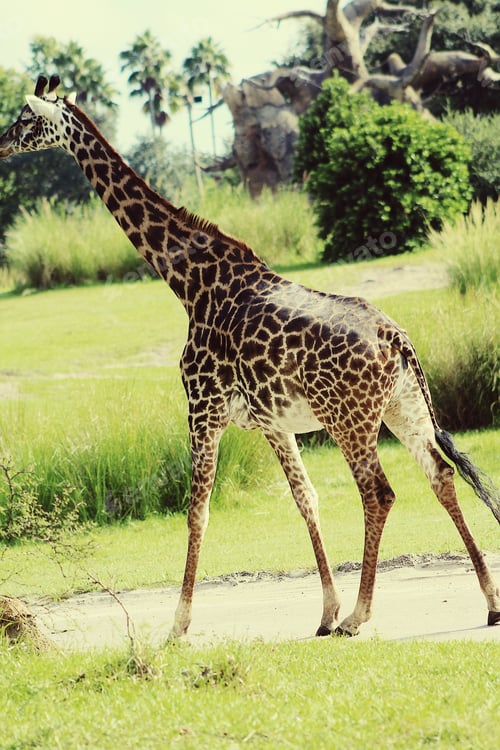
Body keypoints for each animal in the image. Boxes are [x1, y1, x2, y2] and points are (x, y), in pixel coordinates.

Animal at [0, 75, 498, 638]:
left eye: (24, 119)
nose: (0, 145)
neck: (190, 283)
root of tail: (397, 339)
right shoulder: (272, 423)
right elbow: (306, 499)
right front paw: (323, 612)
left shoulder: (203, 409)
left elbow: (197, 512)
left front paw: (178, 625)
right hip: (402, 409)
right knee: (441, 476)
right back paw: (488, 602)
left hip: (348, 419)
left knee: (380, 493)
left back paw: (360, 615)